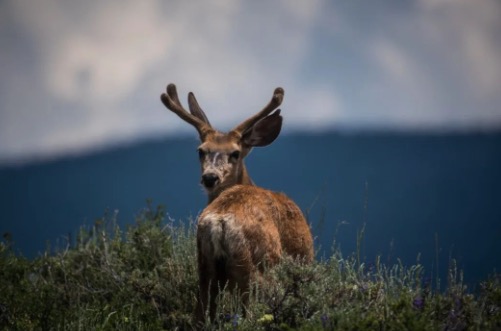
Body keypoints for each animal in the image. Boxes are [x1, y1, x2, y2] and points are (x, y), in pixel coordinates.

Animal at [160, 83, 312, 326]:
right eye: (201, 150)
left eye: (235, 152)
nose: (210, 177)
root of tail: (220, 222)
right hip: (256, 269)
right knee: (251, 314)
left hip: (205, 267)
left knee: (201, 316)